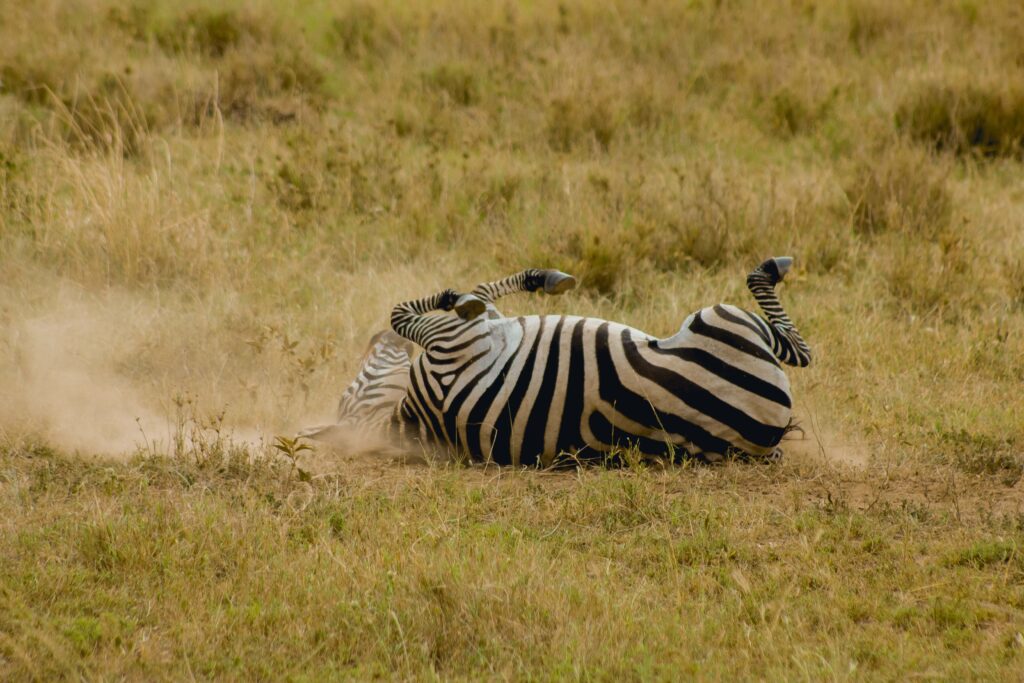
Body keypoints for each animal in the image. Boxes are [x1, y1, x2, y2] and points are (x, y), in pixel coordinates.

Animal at [389, 255, 806, 464]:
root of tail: (768, 436)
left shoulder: (471, 335)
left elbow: (476, 294)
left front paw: (539, 279)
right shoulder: (455, 340)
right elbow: (401, 313)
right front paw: (460, 297)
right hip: (723, 319)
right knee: (797, 349)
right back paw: (773, 267)